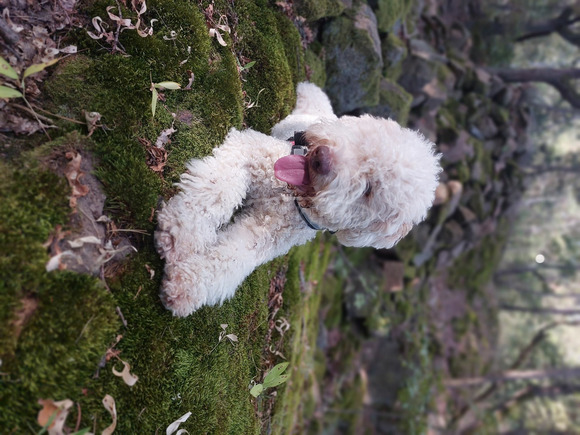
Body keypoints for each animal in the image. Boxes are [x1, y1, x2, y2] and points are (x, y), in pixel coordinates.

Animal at [154, 83, 440, 318]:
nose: (322, 156)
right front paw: (179, 236)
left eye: (369, 190)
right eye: (361, 142)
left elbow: (230, 258)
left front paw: (185, 286)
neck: (291, 196)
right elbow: (217, 189)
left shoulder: (263, 237)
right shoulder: (250, 149)